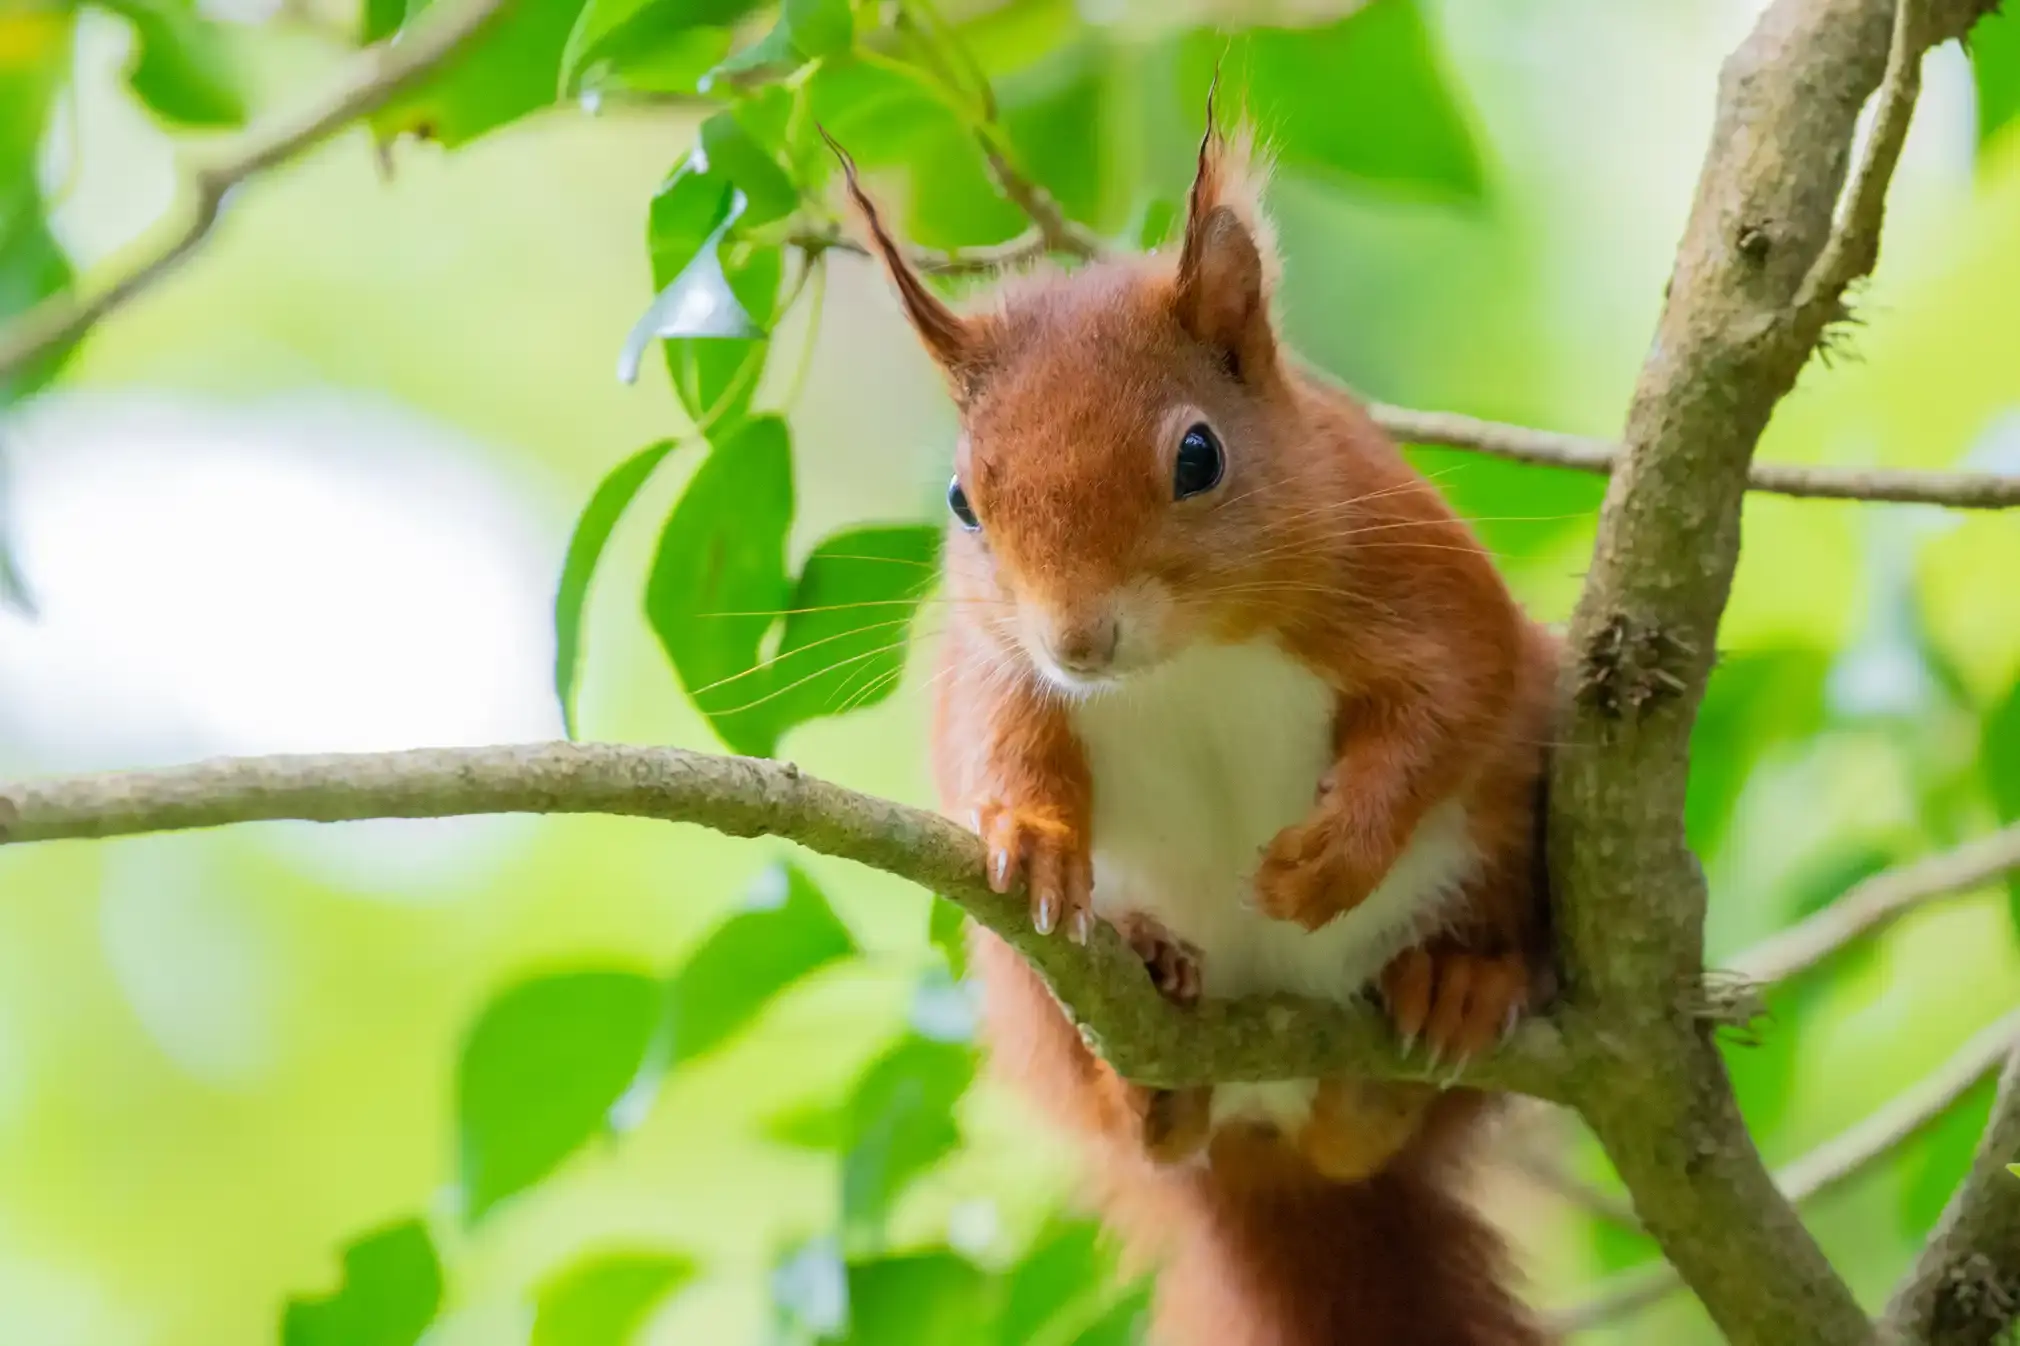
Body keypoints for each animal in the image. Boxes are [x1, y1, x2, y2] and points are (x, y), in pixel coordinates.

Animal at [829, 106, 1561, 1346]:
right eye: (963, 501)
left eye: (1198, 455)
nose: (1078, 640)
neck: (1182, 662)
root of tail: (1268, 1142)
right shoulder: (996, 663)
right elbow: (996, 745)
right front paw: (1032, 837)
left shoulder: (1405, 564)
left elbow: (1451, 693)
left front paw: (1332, 856)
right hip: (1026, 987)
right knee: (1152, 1129)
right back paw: (1154, 1038)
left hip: (1515, 827)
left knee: (1372, 1121)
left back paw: (1441, 1000)